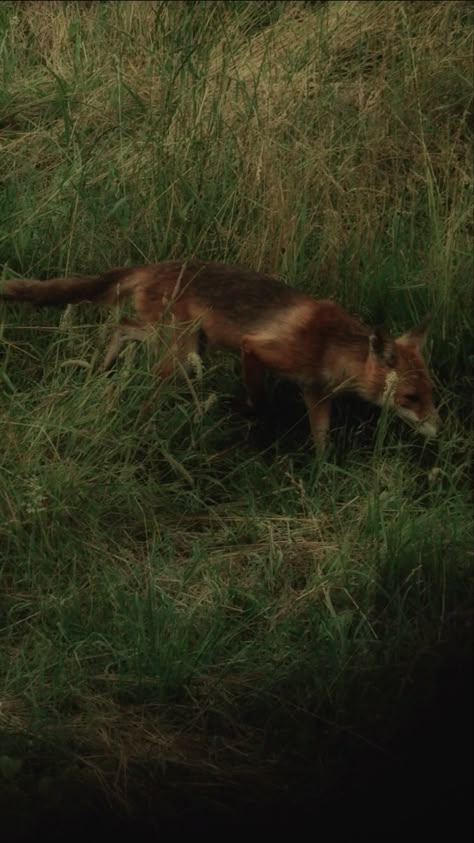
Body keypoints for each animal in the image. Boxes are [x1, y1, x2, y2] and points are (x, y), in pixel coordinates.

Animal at [0, 260, 438, 448]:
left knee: (121, 326)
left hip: (180, 341)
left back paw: (102, 367)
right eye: (411, 398)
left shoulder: (316, 394)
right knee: (135, 356)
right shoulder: (256, 350)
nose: (438, 430)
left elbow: (321, 442)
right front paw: (237, 408)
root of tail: (152, 265)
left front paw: (321, 478)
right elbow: (259, 401)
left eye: (429, 395)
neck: (330, 346)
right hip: (178, 354)